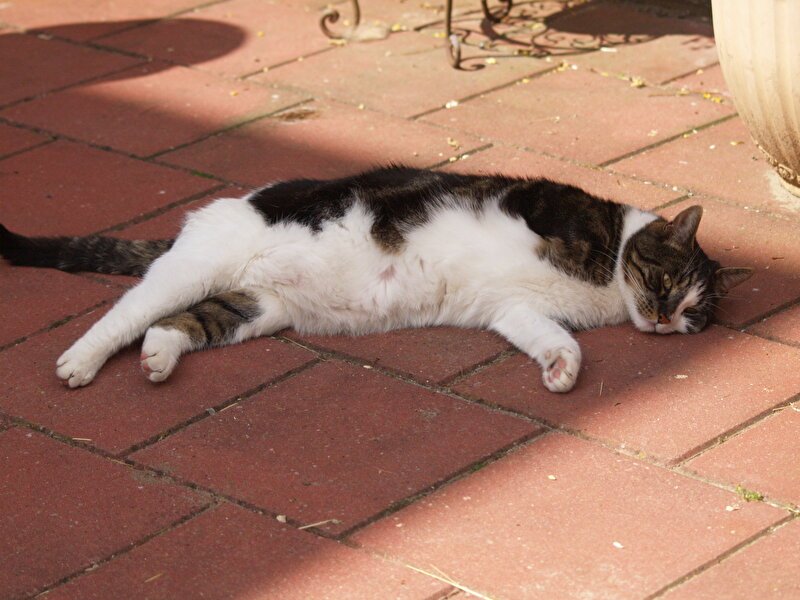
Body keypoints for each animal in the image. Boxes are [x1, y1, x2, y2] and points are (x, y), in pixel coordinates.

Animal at [0, 166, 752, 392]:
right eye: (666, 283)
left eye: (694, 313)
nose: (664, 318)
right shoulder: (547, 219)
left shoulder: (514, 310)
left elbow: (553, 339)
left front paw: (562, 370)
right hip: (194, 267)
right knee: (125, 312)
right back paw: (79, 363)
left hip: (253, 308)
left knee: (176, 323)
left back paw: (157, 360)